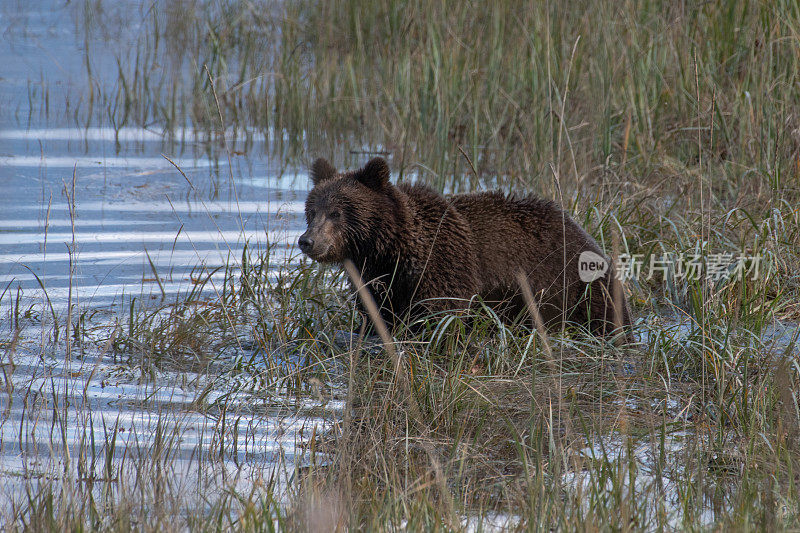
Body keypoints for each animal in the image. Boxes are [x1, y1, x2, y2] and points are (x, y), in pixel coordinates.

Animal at [296, 156, 636, 338]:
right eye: (311, 210)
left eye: (336, 213)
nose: (307, 241)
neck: (391, 249)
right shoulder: (379, 283)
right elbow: (377, 317)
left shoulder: (442, 263)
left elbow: (443, 317)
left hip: (574, 286)